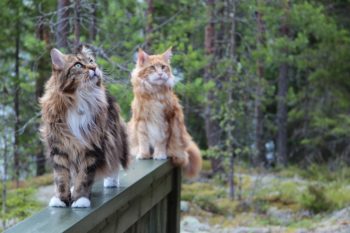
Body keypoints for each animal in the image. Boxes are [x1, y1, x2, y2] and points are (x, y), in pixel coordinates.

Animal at [40, 45, 130, 208]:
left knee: (113, 159)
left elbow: (85, 176)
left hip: (113, 136)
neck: (79, 99)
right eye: (78, 65)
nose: (94, 68)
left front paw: (80, 199)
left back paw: (111, 181)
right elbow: (61, 177)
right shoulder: (60, 146)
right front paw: (61, 199)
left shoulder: (92, 146)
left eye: (91, 61)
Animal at [129, 48, 202, 177]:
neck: (154, 94)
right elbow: (143, 140)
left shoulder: (165, 120)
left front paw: (159, 155)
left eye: (163, 67)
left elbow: (161, 140)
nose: (160, 74)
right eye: (152, 68)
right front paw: (144, 155)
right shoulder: (141, 120)